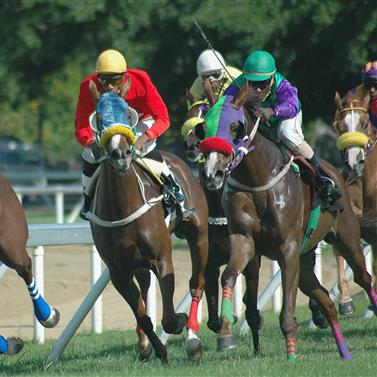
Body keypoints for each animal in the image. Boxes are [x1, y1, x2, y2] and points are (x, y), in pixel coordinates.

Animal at [88, 83, 209, 362]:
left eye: (127, 113)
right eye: (98, 118)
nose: (120, 153)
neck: (123, 205)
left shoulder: (162, 258)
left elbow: (169, 318)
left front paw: (179, 322)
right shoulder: (118, 271)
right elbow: (142, 315)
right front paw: (158, 349)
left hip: (199, 234)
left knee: (197, 283)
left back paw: (193, 340)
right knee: (143, 287)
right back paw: (144, 344)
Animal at [197, 86, 376, 362]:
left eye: (234, 127)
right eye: (203, 127)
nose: (211, 174)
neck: (258, 180)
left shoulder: (287, 249)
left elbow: (287, 312)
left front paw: (291, 355)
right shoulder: (245, 242)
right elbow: (227, 277)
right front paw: (225, 331)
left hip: (346, 238)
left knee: (364, 277)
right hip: (303, 265)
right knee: (325, 299)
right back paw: (344, 352)